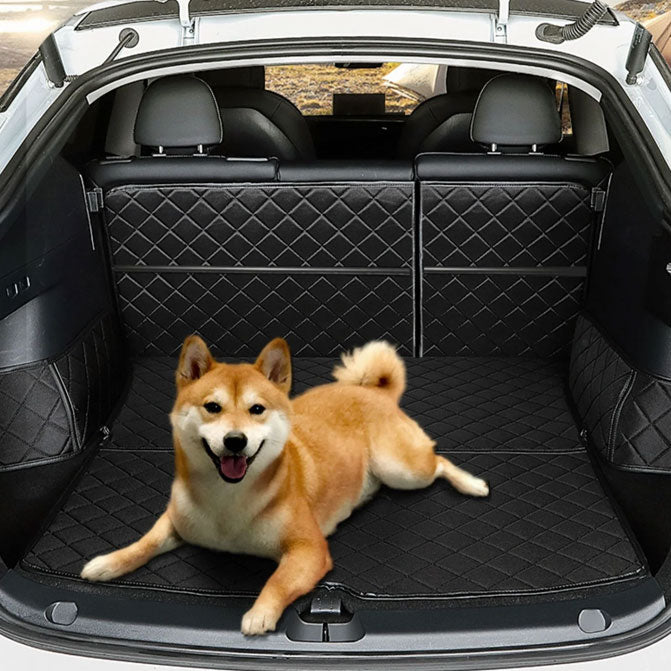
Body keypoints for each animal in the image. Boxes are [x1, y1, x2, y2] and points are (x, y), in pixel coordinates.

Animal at [81, 336, 490, 636]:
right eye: (212, 407)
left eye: (257, 409)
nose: (235, 441)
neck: (226, 500)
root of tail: (373, 392)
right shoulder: (177, 522)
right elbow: (144, 544)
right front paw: (107, 563)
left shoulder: (309, 550)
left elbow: (277, 581)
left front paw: (260, 613)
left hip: (401, 469)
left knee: (438, 461)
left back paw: (472, 483)